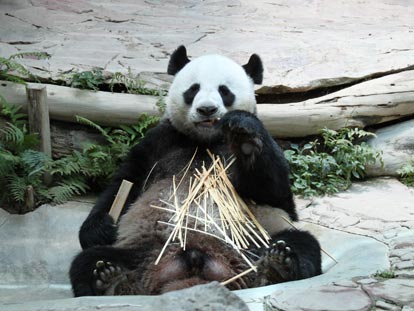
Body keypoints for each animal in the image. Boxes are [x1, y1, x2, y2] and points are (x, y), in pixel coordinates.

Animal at [68, 46, 324, 298]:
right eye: (193, 89)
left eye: (224, 91)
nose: (207, 109)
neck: (205, 141)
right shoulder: (159, 143)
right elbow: (124, 182)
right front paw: (101, 228)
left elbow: (277, 195)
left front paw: (245, 137)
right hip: (143, 250)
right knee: (88, 263)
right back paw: (110, 280)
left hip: (251, 244)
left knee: (300, 243)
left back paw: (278, 266)